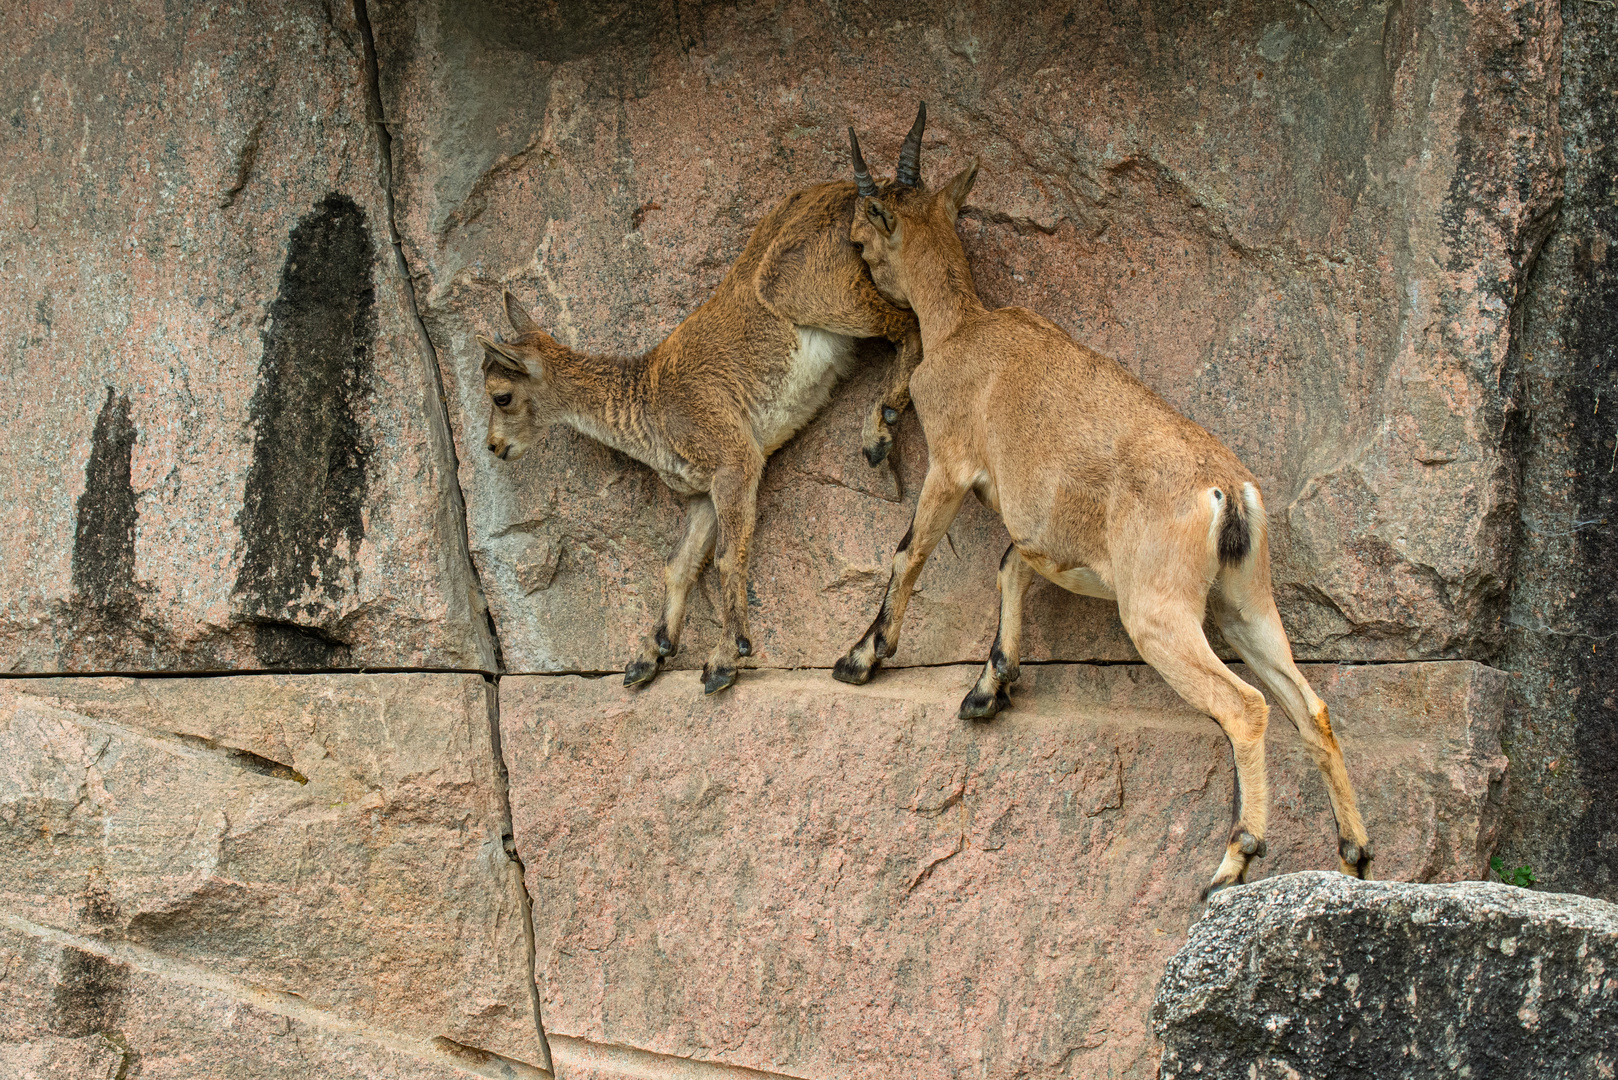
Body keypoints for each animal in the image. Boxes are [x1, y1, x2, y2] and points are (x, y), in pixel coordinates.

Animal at [475, 110, 938, 696]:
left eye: (502, 395)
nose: (494, 447)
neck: (646, 402)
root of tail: (866, 196)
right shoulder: (700, 491)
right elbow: (679, 564)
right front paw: (647, 656)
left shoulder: (735, 460)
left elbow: (726, 559)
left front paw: (725, 659)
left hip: (829, 294)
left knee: (910, 325)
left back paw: (879, 430)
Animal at [834, 143, 1378, 893]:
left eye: (862, 241)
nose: (860, 285)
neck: (961, 326)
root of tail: (1225, 492)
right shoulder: (1049, 535)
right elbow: (1009, 566)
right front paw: (988, 689)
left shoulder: (949, 462)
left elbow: (908, 552)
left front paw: (861, 658)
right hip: (1244, 605)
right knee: (1311, 707)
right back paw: (1355, 856)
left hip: (1156, 613)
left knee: (1246, 708)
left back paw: (1232, 864)